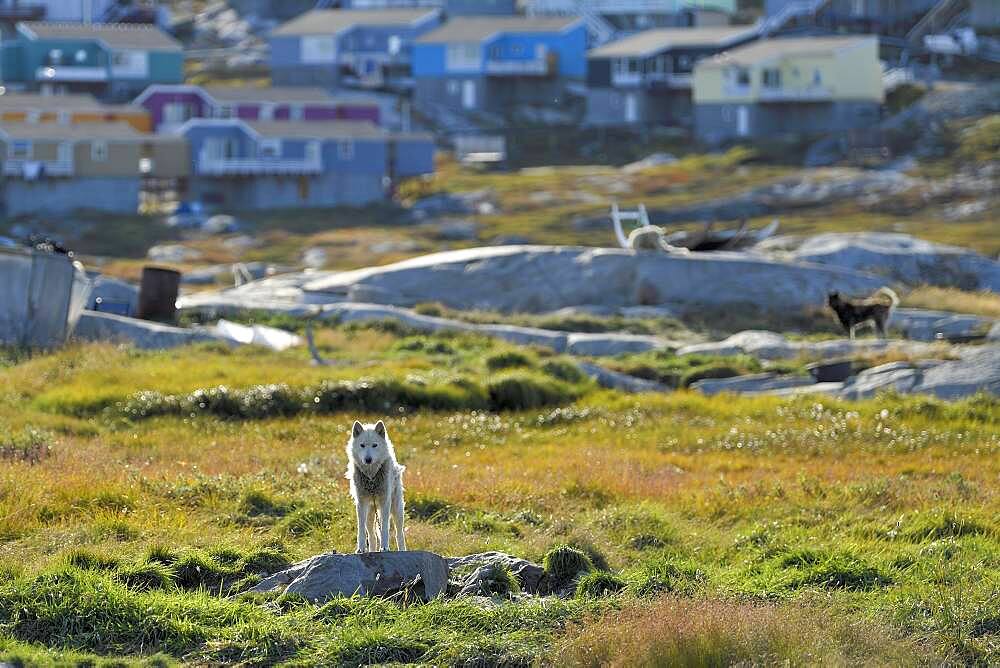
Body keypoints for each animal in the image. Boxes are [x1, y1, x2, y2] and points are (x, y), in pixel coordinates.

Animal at [344, 418, 406, 552]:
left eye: (374, 445)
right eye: (362, 445)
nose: (368, 460)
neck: (371, 478)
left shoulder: (385, 502)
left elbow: (385, 528)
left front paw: (385, 547)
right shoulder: (361, 504)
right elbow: (361, 530)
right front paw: (360, 549)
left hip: (396, 509)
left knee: (399, 533)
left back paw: (403, 550)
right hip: (370, 513)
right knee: (372, 536)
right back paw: (371, 550)